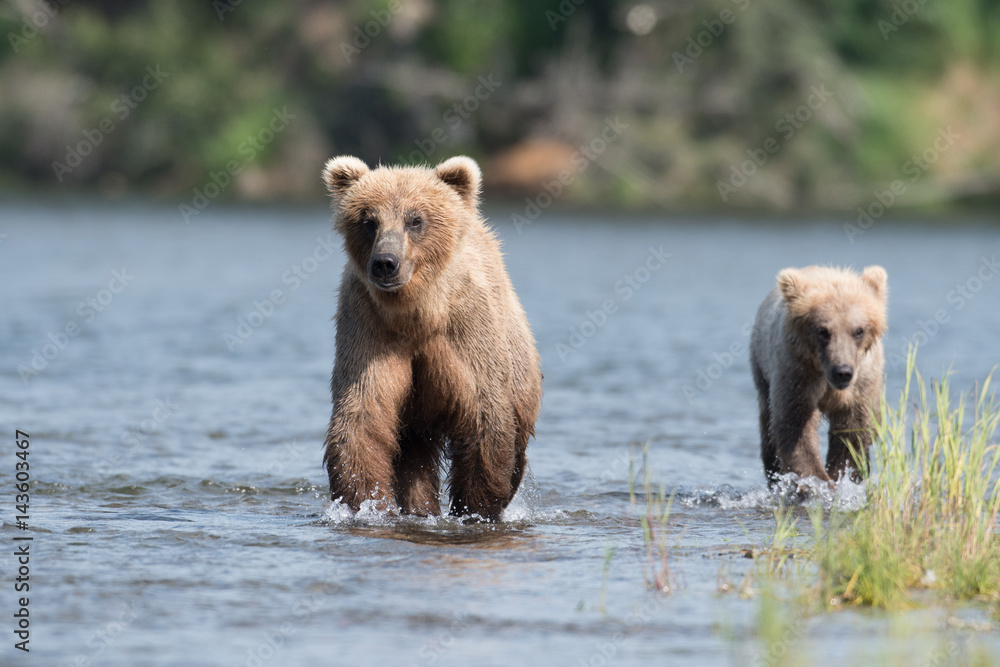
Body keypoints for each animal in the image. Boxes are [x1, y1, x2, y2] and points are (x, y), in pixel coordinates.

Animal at [320, 155, 543, 522]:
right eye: (368, 220)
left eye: (415, 219)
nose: (385, 263)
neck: (418, 313)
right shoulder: (368, 328)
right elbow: (362, 416)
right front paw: (367, 502)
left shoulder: (467, 332)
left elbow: (485, 419)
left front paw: (475, 507)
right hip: (415, 417)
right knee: (415, 460)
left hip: (519, 369)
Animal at [749, 265, 888, 486]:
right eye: (823, 331)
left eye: (858, 330)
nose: (842, 372)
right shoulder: (797, 372)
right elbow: (795, 424)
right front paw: (818, 481)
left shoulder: (863, 381)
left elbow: (852, 432)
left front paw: (842, 475)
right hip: (762, 370)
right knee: (767, 425)